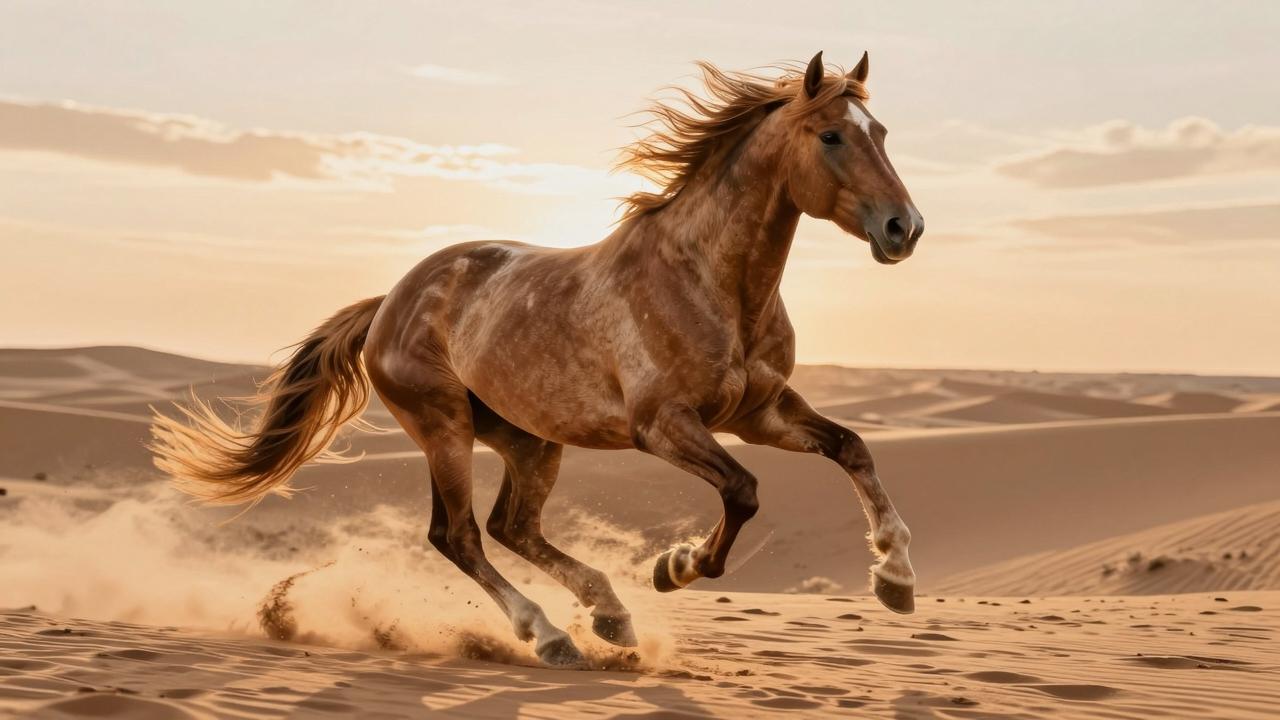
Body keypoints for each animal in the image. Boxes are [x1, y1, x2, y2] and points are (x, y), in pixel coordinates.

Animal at [150, 50, 925, 667]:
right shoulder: (663, 426)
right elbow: (744, 491)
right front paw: (676, 566)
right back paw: (552, 636)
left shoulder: (760, 413)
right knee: (459, 535)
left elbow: (852, 448)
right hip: (445, 427)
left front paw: (895, 579)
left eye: (881, 133)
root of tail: (390, 302)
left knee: (511, 526)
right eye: (830, 135)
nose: (905, 229)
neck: (713, 282)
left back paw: (609, 616)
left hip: (529, 439)